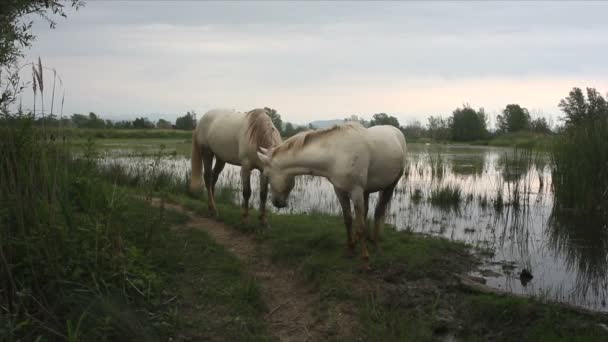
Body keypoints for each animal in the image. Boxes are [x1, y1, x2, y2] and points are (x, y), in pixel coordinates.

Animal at [254, 121, 406, 268]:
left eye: (267, 175)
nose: (276, 202)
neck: (336, 154)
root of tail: (396, 131)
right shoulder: (340, 191)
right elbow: (348, 220)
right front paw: (350, 249)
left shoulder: (355, 191)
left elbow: (361, 227)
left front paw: (365, 260)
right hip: (366, 190)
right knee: (367, 211)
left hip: (390, 185)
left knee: (379, 211)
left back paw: (376, 244)